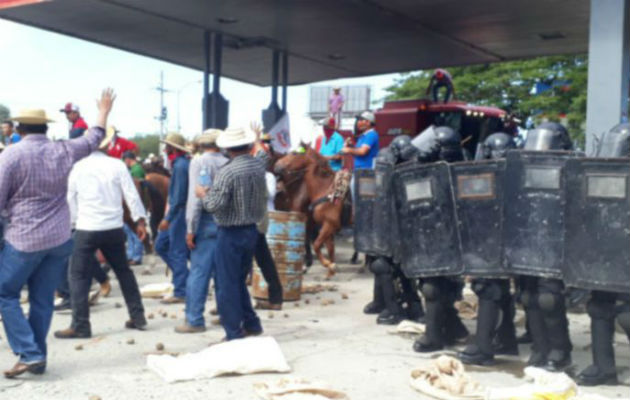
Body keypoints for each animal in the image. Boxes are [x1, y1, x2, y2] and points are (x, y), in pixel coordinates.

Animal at [274, 144, 348, 278]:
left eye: (295, 153)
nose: (277, 166)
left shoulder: (328, 224)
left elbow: (316, 244)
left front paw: (326, 264)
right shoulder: (324, 224)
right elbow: (329, 247)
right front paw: (330, 269)